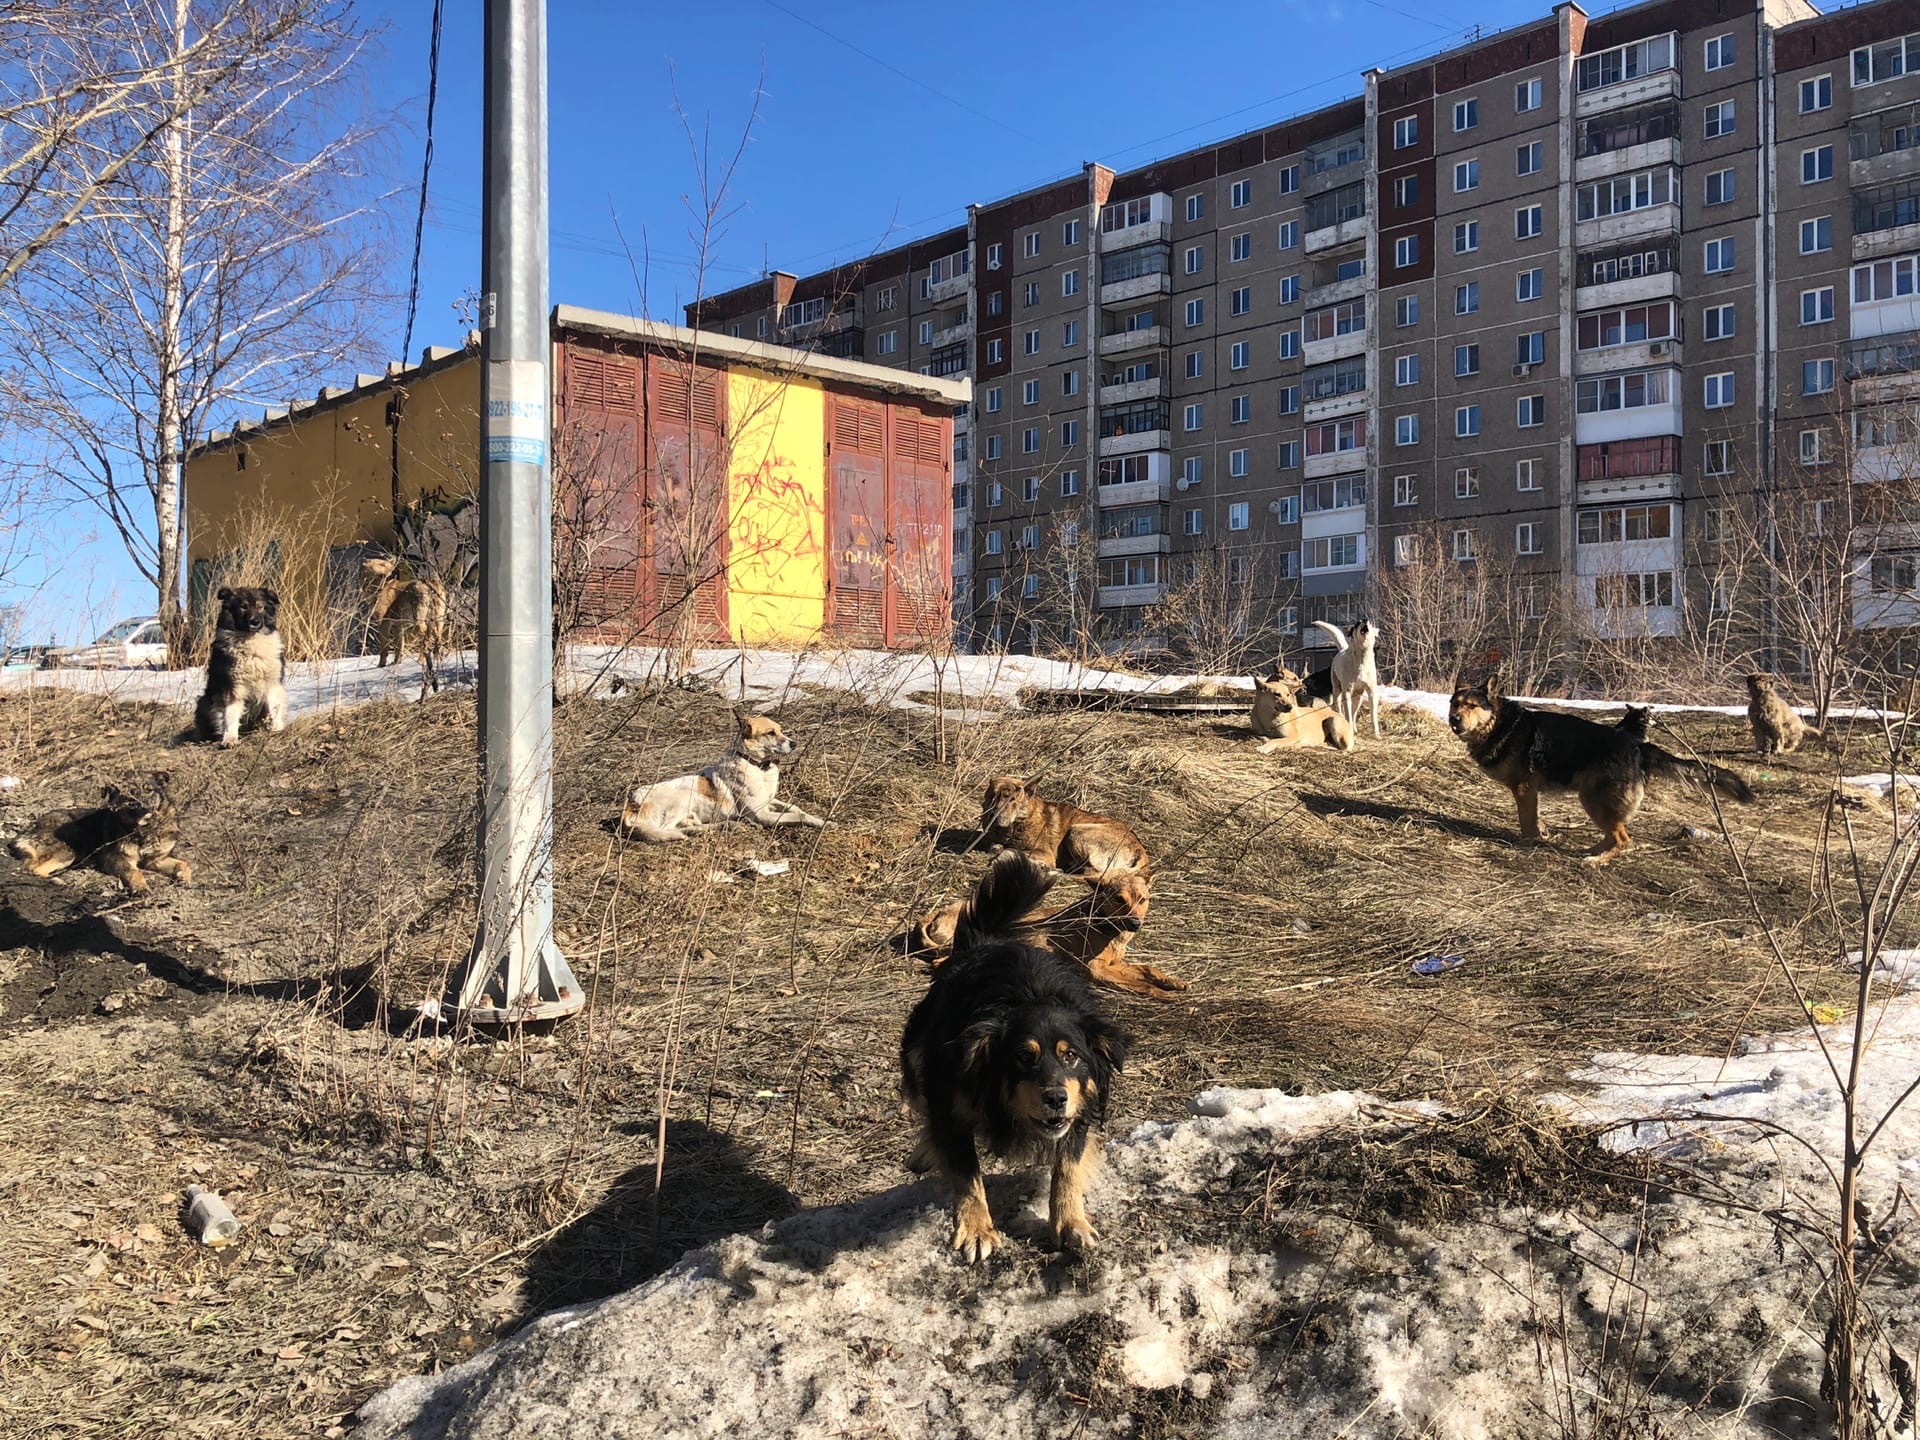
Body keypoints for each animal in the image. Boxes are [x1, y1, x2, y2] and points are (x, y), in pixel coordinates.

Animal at [7, 771, 191, 898]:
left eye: (148, 790)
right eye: (127, 794)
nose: (140, 805)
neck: (145, 829)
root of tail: (31, 828)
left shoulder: (155, 860)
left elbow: (183, 863)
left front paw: (185, 877)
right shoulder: (116, 859)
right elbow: (134, 872)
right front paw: (141, 887)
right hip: (72, 847)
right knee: (34, 869)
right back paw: (60, 881)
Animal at [192, 587, 286, 748]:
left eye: (261, 606)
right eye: (243, 607)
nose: (255, 622)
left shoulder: (272, 682)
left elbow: (275, 707)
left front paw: (277, 729)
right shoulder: (232, 686)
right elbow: (230, 715)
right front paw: (229, 739)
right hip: (206, 701)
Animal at [614, 714, 825, 844]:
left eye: (781, 730)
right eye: (771, 733)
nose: (795, 743)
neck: (758, 767)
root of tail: (630, 803)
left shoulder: (770, 801)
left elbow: (795, 808)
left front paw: (820, 818)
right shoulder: (762, 814)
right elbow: (799, 816)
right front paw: (822, 823)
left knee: (693, 827)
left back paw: (731, 825)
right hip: (683, 797)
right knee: (670, 829)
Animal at [1451, 679, 1758, 867]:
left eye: (1472, 706)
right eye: (1455, 704)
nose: (1453, 720)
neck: (1502, 724)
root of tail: (1639, 746)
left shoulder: (1525, 789)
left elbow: (1527, 822)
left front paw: (1527, 843)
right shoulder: (1531, 792)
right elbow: (1535, 819)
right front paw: (1542, 833)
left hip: (1594, 800)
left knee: (1623, 839)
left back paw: (1598, 861)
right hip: (1595, 801)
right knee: (1613, 835)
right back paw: (1592, 851)